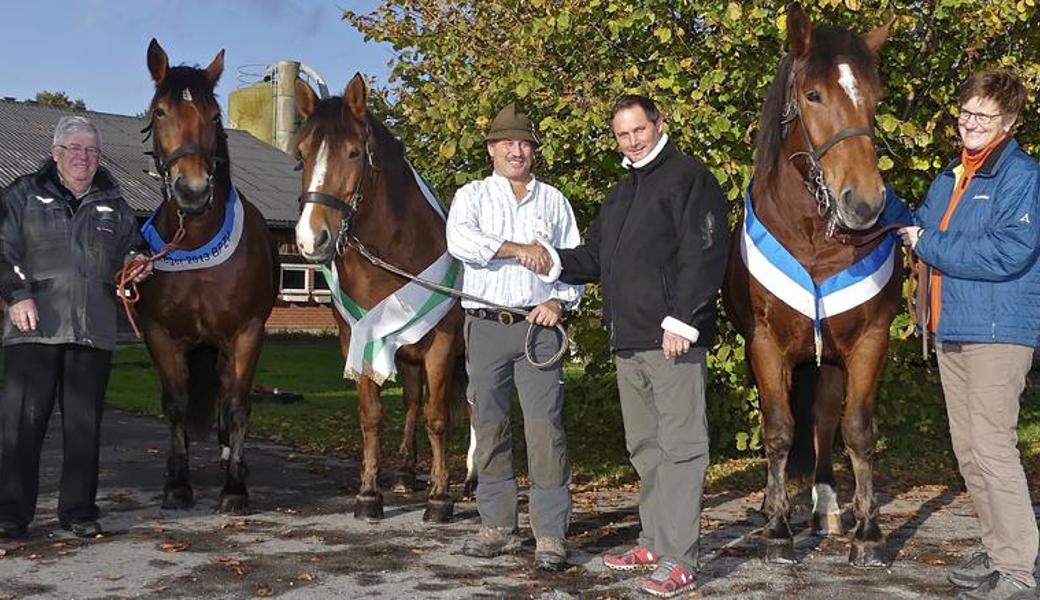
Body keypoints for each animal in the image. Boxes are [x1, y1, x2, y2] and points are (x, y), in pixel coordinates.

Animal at [136, 41, 278, 509]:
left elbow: (236, 405)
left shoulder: (246, 333)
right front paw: (177, 482)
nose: (193, 191)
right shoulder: (159, 334)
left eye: (215, 116)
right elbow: (176, 404)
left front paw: (235, 488)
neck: (196, 241)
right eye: (160, 111)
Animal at [723, 4, 902, 565]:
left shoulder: (869, 341)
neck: (813, 244)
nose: (864, 202)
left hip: (827, 360)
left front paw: (869, 533)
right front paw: (778, 529)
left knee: (823, 420)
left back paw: (827, 507)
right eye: (813, 95)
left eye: (875, 97)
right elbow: (779, 428)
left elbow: (857, 430)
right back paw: (772, 505)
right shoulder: (764, 343)